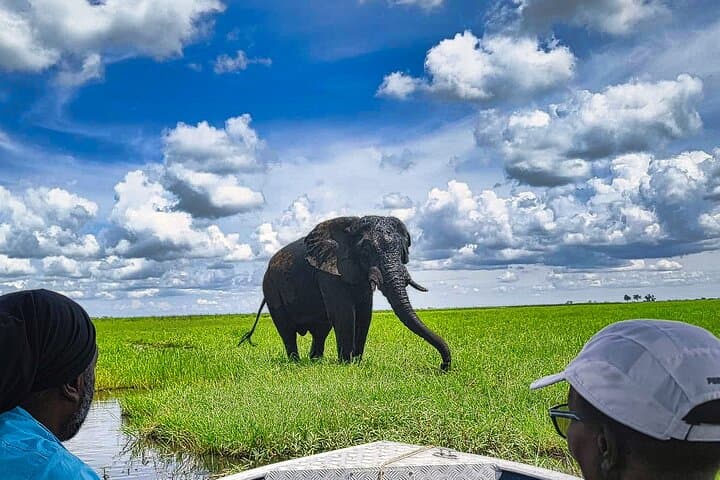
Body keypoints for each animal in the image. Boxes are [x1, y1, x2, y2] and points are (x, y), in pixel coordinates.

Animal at [239, 215, 451, 371]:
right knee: (287, 330)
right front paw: (347, 364)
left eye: (401, 250)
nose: (443, 366)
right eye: (366, 250)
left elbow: (365, 314)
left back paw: (315, 361)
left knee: (320, 330)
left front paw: (356, 362)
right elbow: (345, 314)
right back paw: (296, 363)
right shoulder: (329, 270)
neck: (351, 226)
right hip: (271, 288)